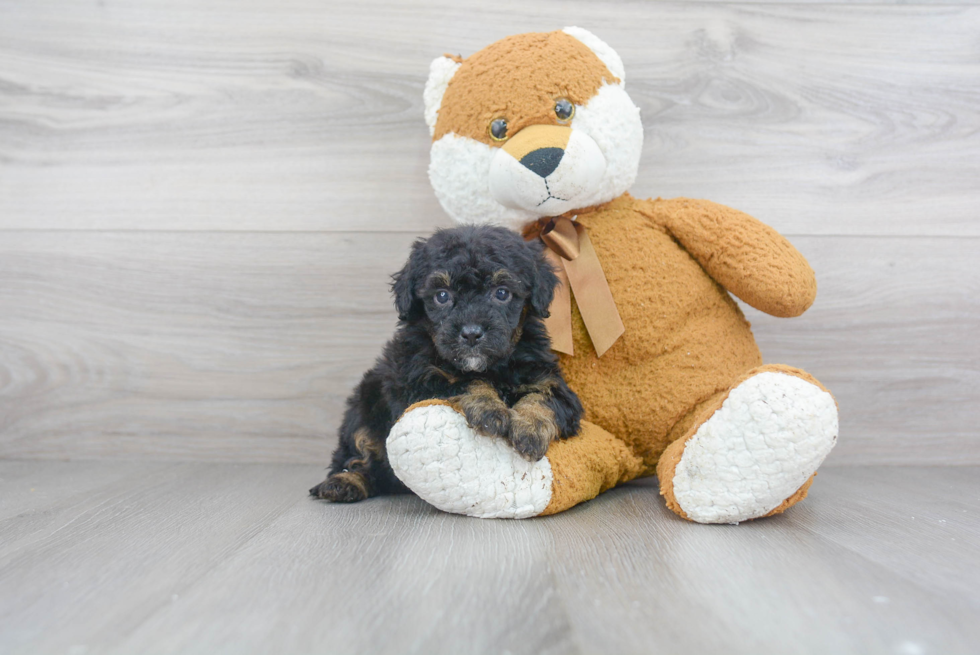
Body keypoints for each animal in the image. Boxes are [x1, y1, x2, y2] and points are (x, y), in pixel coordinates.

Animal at [310, 224, 580, 502]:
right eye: (442, 296)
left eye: (502, 293)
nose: (471, 333)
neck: (492, 366)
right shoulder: (415, 382)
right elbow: (463, 382)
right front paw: (489, 408)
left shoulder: (547, 377)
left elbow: (546, 398)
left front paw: (530, 428)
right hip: (364, 405)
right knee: (358, 453)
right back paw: (343, 482)